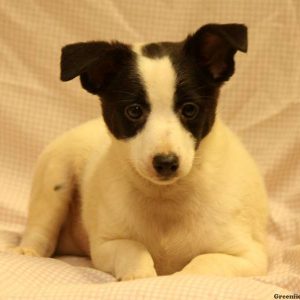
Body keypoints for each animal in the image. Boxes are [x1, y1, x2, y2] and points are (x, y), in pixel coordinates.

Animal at [12, 24, 270, 282]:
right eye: (134, 111)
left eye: (189, 109)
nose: (166, 162)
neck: (166, 197)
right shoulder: (105, 245)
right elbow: (133, 247)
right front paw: (138, 274)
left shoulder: (249, 255)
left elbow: (203, 263)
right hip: (55, 180)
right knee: (42, 230)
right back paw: (27, 251)